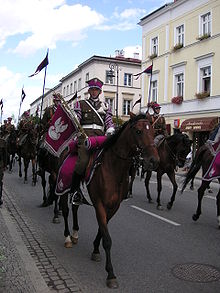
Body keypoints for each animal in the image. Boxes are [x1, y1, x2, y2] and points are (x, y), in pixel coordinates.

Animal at [59, 112, 159, 288]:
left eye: (153, 131)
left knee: (75, 208)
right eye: (138, 131)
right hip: (64, 189)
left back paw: (75, 234)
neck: (114, 168)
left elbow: (102, 230)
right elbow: (107, 238)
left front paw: (95, 250)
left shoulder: (114, 207)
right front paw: (111, 274)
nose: (153, 160)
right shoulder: (99, 204)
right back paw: (68, 238)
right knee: (65, 211)